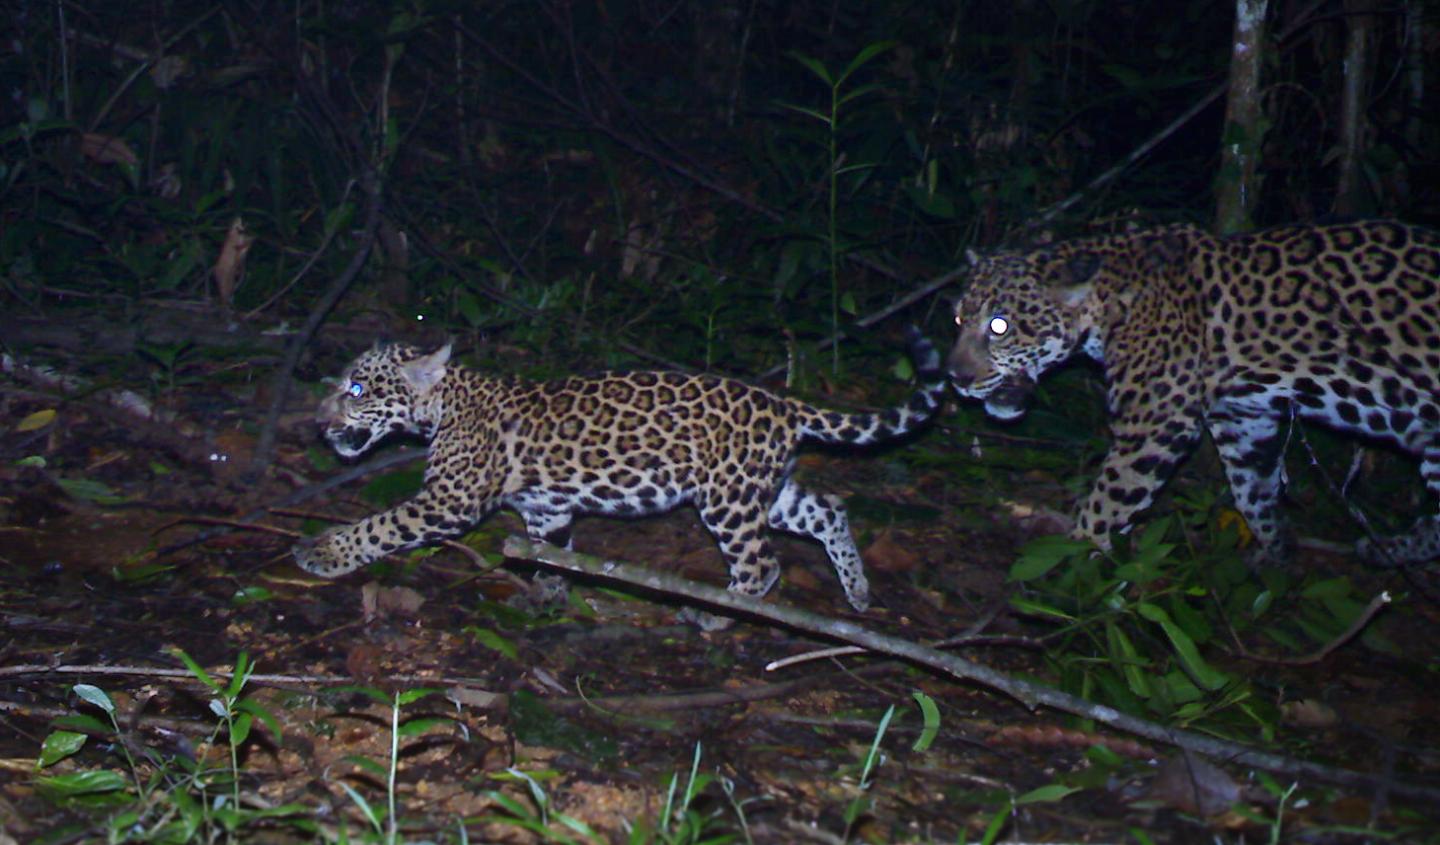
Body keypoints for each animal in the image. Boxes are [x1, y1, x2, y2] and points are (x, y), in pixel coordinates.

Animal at [293, 330, 945, 625]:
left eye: (356, 389)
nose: (318, 424)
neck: (444, 406)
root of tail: (784, 403)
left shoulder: (447, 502)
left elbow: (380, 525)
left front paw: (324, 552)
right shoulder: (548, 509)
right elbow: (549, 552)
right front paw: (548, 597)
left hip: (728, 500)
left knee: (762, 565)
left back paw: (716, 613)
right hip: (763, 490)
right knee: (828, 508)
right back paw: (857, 591)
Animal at [947, 220, 1440, 567]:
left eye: (999, 326)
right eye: (957, 319)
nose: (955, 377)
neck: (1109, 305)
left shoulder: (1155, 423)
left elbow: (1110, 499)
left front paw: (1073, 559)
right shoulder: (1242, 418)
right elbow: (1252, 490)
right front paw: (1277, 549)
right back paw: (1389, 550)